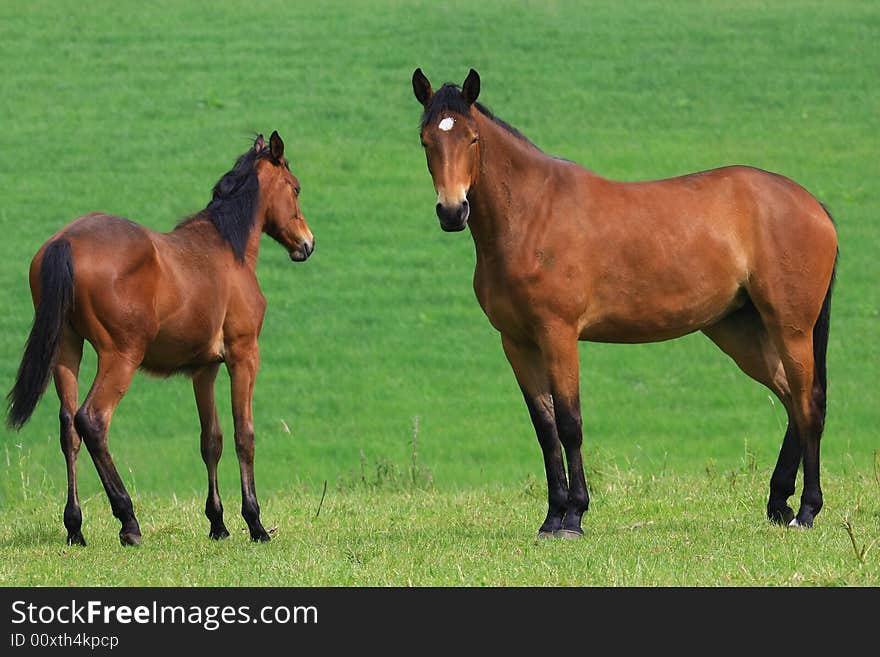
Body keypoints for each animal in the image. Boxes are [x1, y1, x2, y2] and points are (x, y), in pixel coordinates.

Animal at [5, 131, 314, 544]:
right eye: (295, 188)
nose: (306, 244)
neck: (226, 250)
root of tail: (66, 241)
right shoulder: (243, 356)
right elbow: (243, 436)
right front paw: (255, 523)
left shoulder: (204, 369)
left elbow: (210, 440)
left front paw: (217, 523)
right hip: (121, 356)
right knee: (92, 420)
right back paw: (128, 520)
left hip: (67, 350)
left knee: (69, 428)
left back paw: (75, 527)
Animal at [412, 68, 840, 540]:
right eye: (426, 140)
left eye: (471, 138)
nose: (452, 211)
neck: (532, 214)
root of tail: (812, 205)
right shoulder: (517, 342)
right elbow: (545, 429)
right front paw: (551, 518)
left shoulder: (558, 334)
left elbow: (570, 424)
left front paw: (574, 517)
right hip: (740, 330)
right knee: (790, 399)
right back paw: (779, 502)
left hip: (790, 327)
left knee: (808, 403)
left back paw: (807, 509)